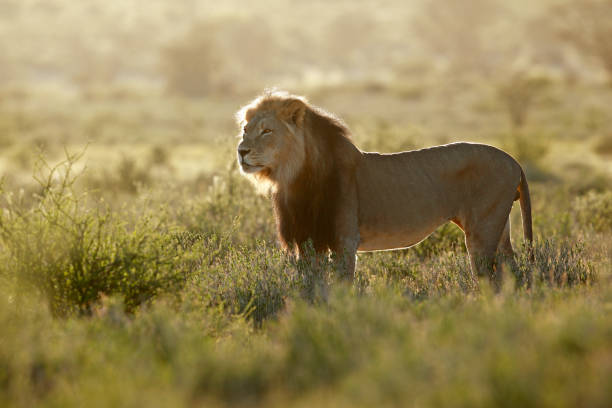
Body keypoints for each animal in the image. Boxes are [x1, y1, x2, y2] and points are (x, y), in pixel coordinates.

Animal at [237, 90, 532, 286]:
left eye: (266, 131)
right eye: (245, 130)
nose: (241, 151)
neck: (293, 178)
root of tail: (513, 159)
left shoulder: (344, 240)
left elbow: (341, 285)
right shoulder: (308, 241)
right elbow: (310, 286)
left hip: (482, 231)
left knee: (489, 276)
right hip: (498, 226)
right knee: (510, 269)